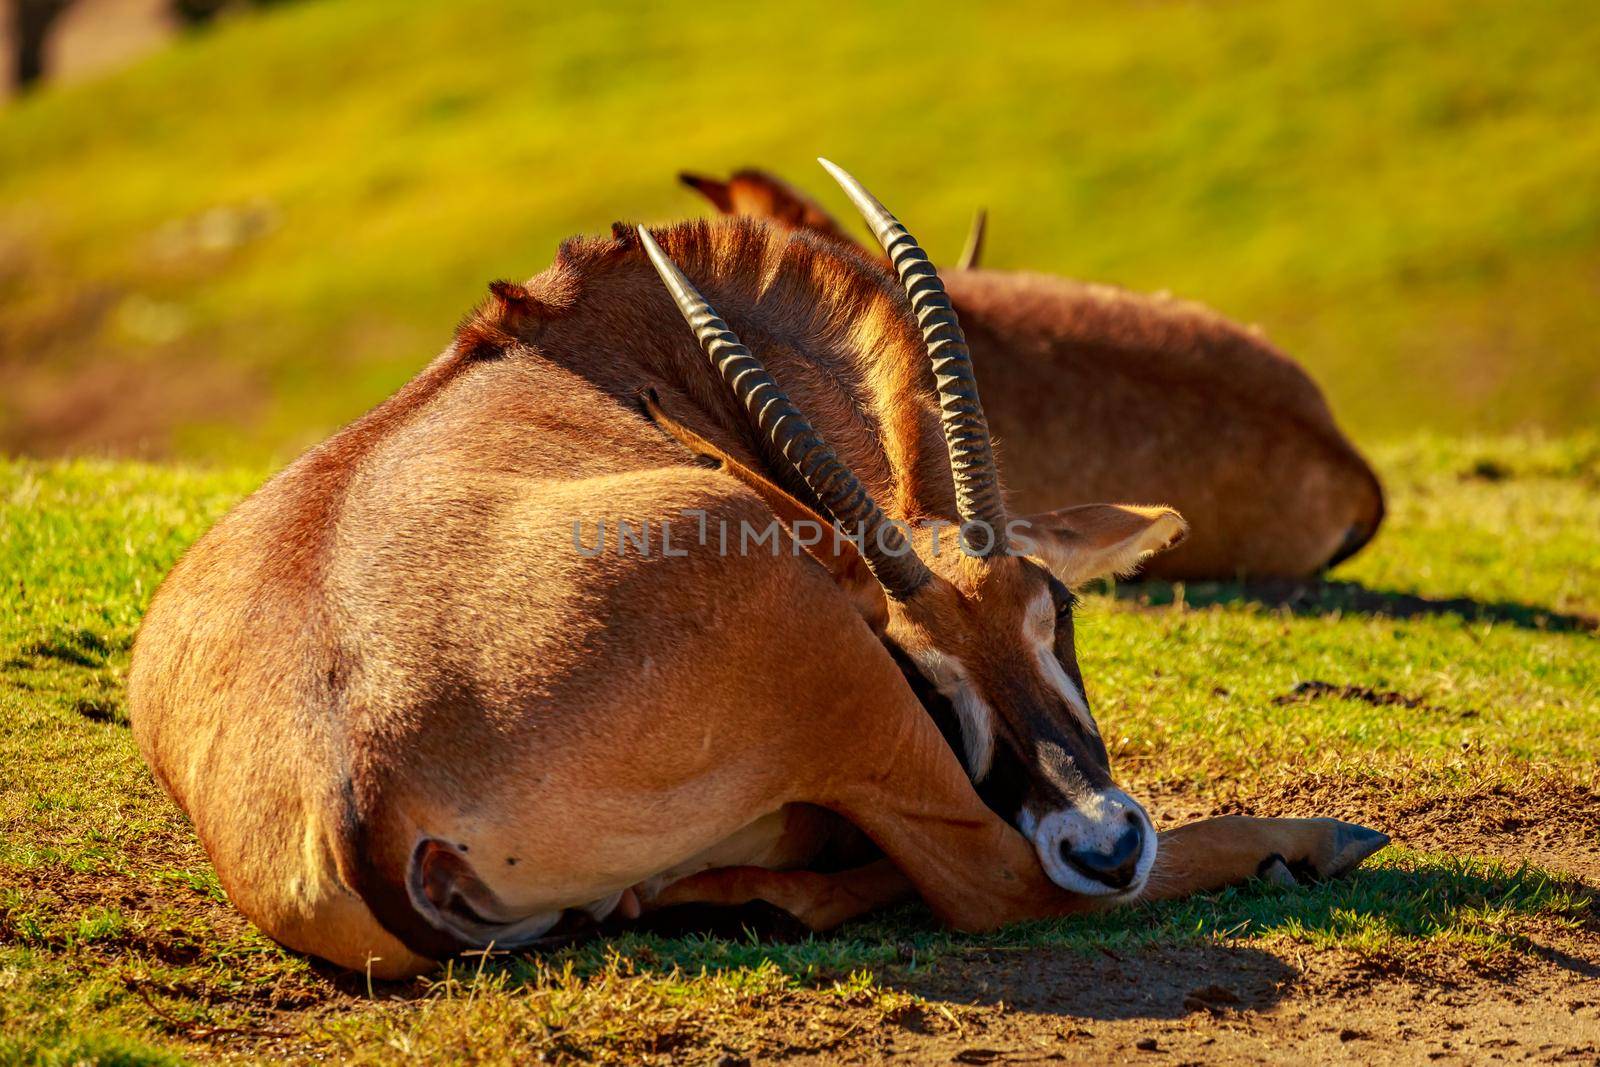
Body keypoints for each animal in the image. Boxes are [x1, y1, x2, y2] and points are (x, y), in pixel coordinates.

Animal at [131, 160, 1388, 985]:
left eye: (1055, 604)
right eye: (920, 663)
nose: (1103, 840)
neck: (623, 347)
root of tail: (364, 793)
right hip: (810, 644)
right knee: (987, 880)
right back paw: (1313, 837)